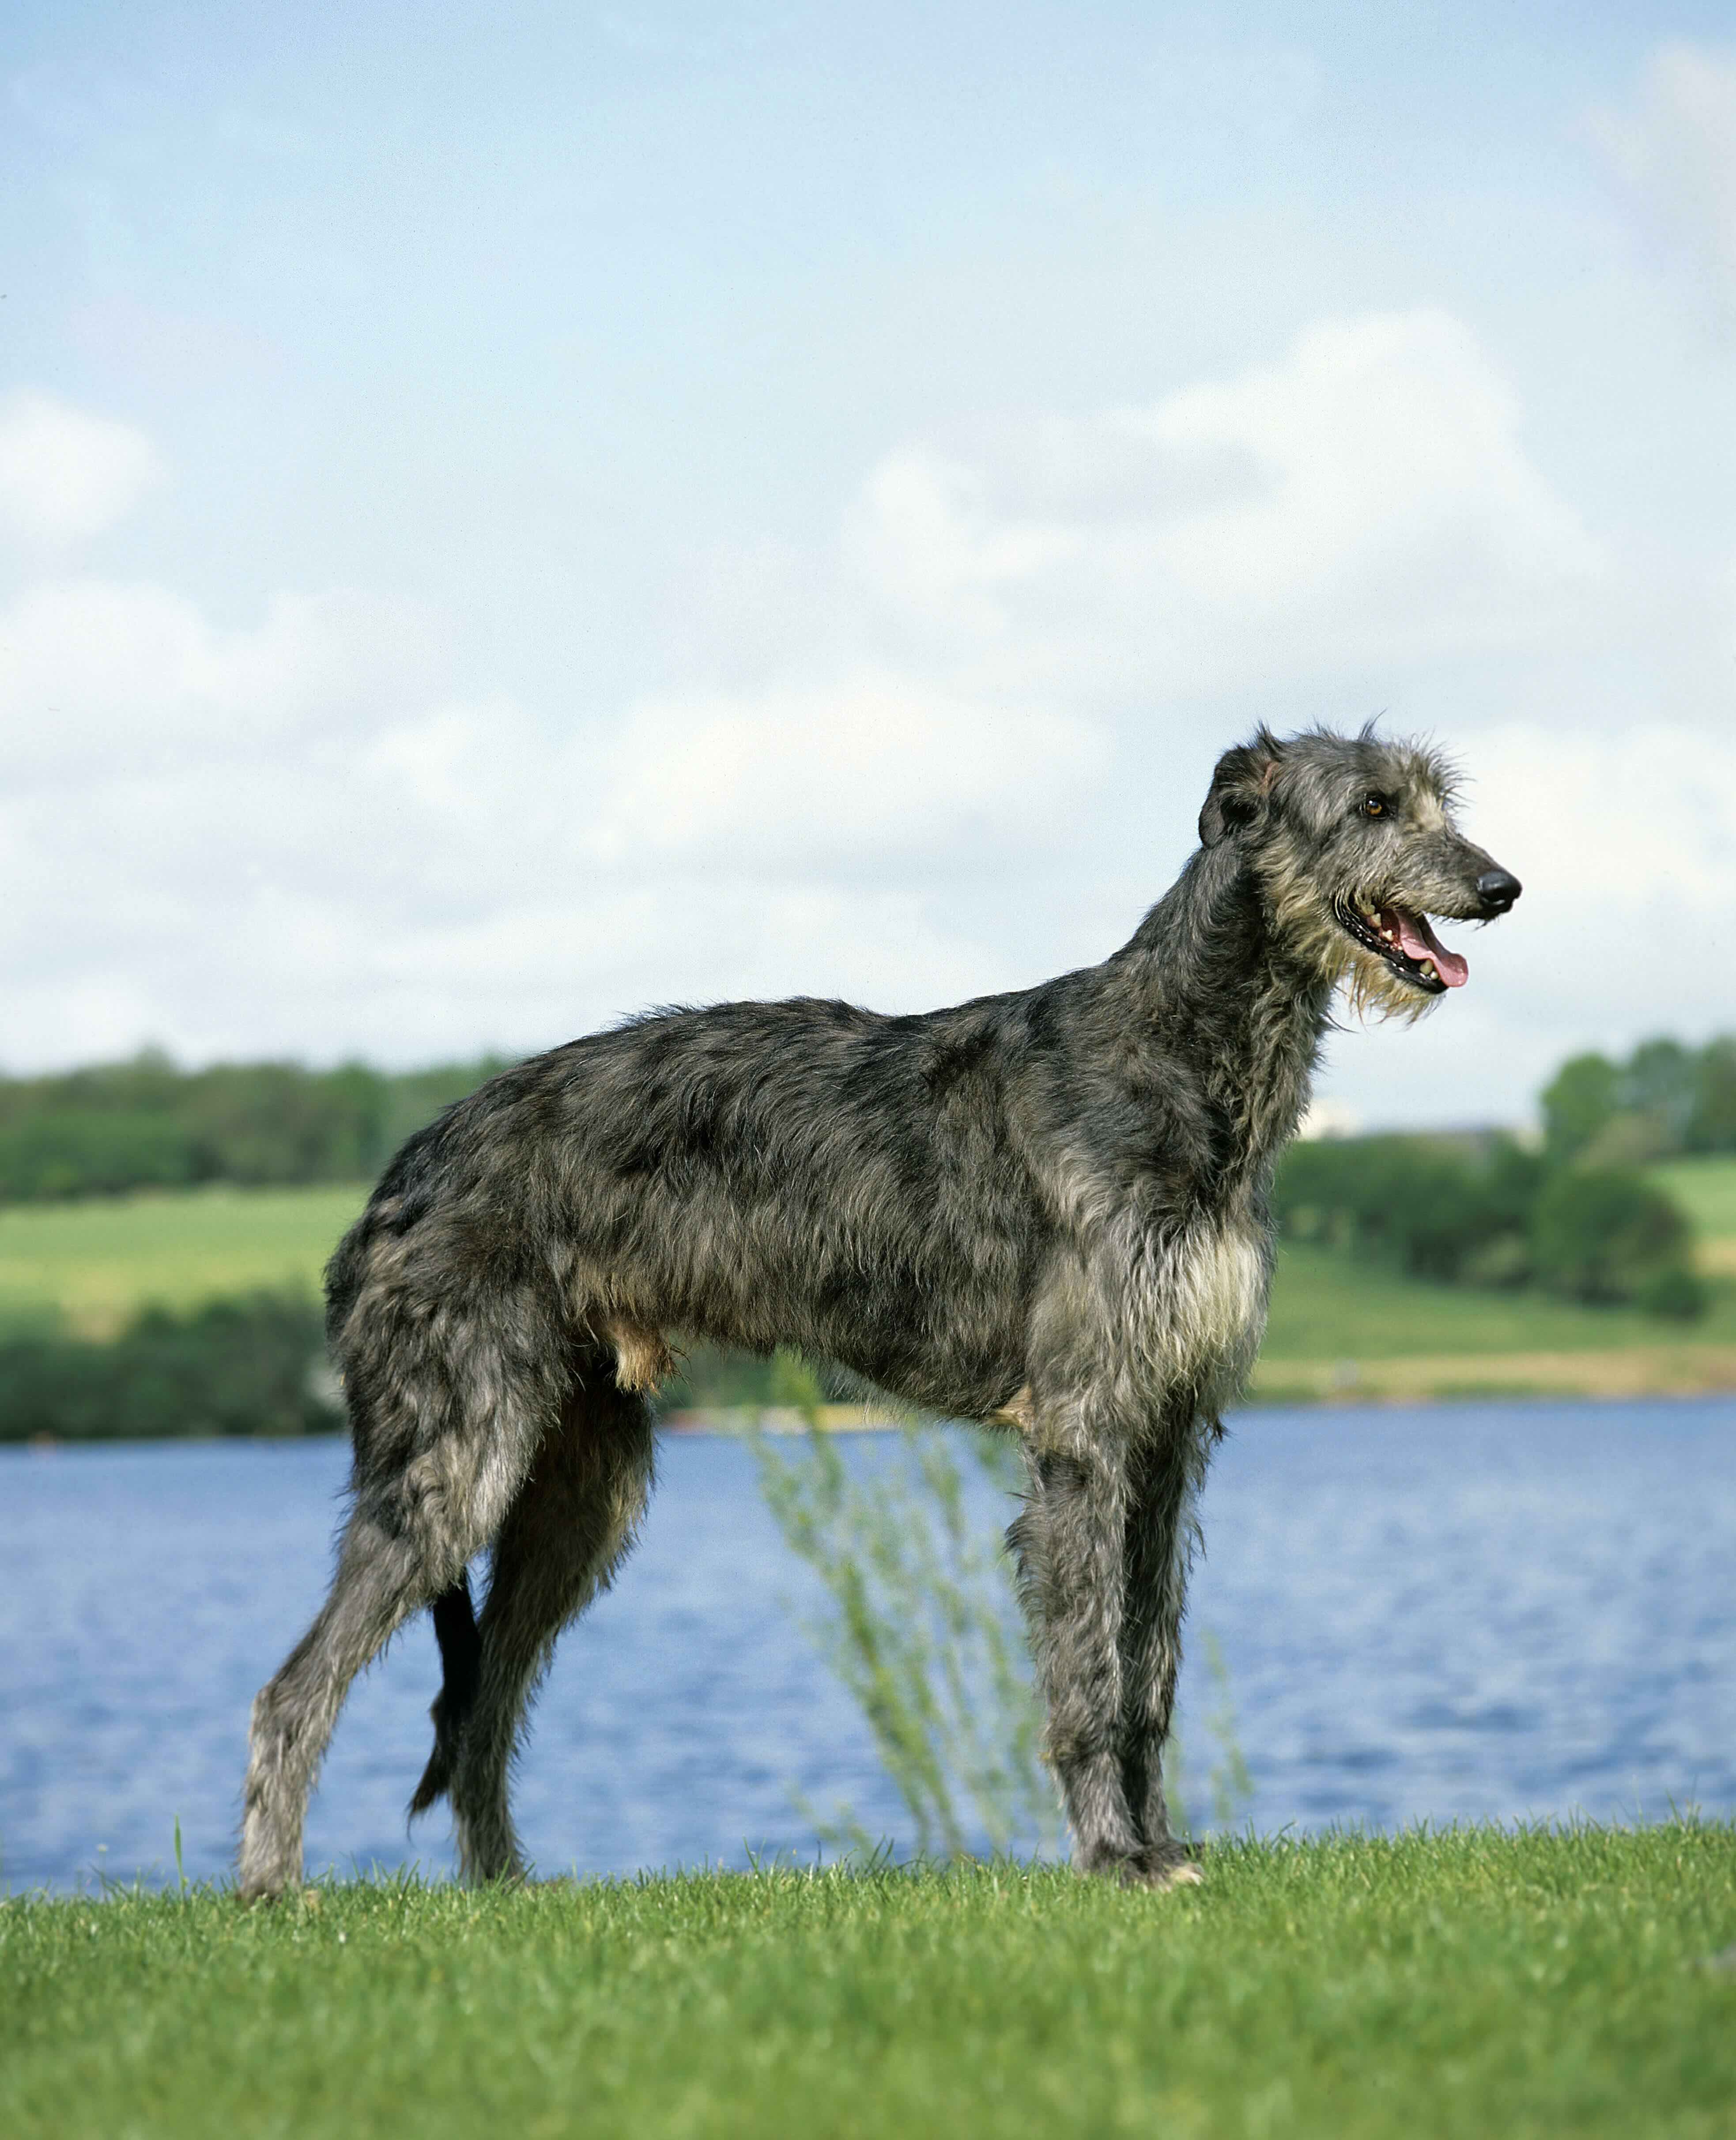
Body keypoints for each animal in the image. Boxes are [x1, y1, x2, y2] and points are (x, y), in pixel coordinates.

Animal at [241, 727, 1524, 1900]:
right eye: (1371, 806)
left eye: (1439, 802)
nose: (1500, 887)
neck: (1178, 1050)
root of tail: (398, 1174)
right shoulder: (1083, 1423)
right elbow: (1087, 1669)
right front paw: (1113, 1857)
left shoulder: (1169, 1429)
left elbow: (1148, 1664)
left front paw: (1160, 1844)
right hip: (458, 1451)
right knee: (293, 1690)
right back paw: (272, 1891)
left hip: (578, 1487)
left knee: (480, 1708)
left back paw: (504, 1890)